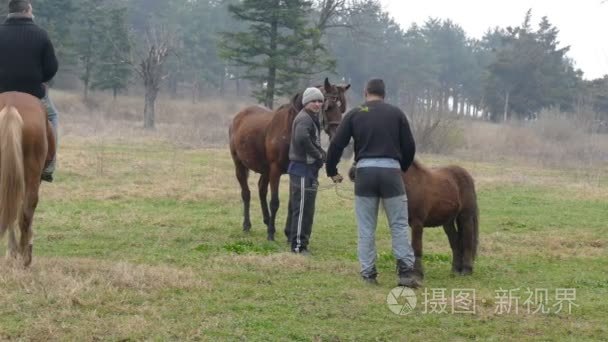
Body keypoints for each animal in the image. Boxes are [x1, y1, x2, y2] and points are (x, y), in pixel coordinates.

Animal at [229, 78, 352, 240]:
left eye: (342, 109)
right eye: (329, 107)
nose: (338, 135)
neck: (291, 128)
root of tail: (239, 116)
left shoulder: (293, 172)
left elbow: (292, 204)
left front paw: (288, 233)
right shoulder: (275, 170)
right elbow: (275, 202)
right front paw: (271, 234)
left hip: (265, 170)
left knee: (261, 190)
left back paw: (267, 220)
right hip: (240, 165)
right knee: (246, 194)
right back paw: (247, 225)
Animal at [352, 159, 480, 280]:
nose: (352, 173)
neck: (410, 184)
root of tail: (467, 175)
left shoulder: (417, 223)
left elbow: (416, 248)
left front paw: (417, 274)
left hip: (465, 217)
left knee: (468, 241)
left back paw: (466, 270)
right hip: (448, 222)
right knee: (455, 243)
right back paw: (455, 270)